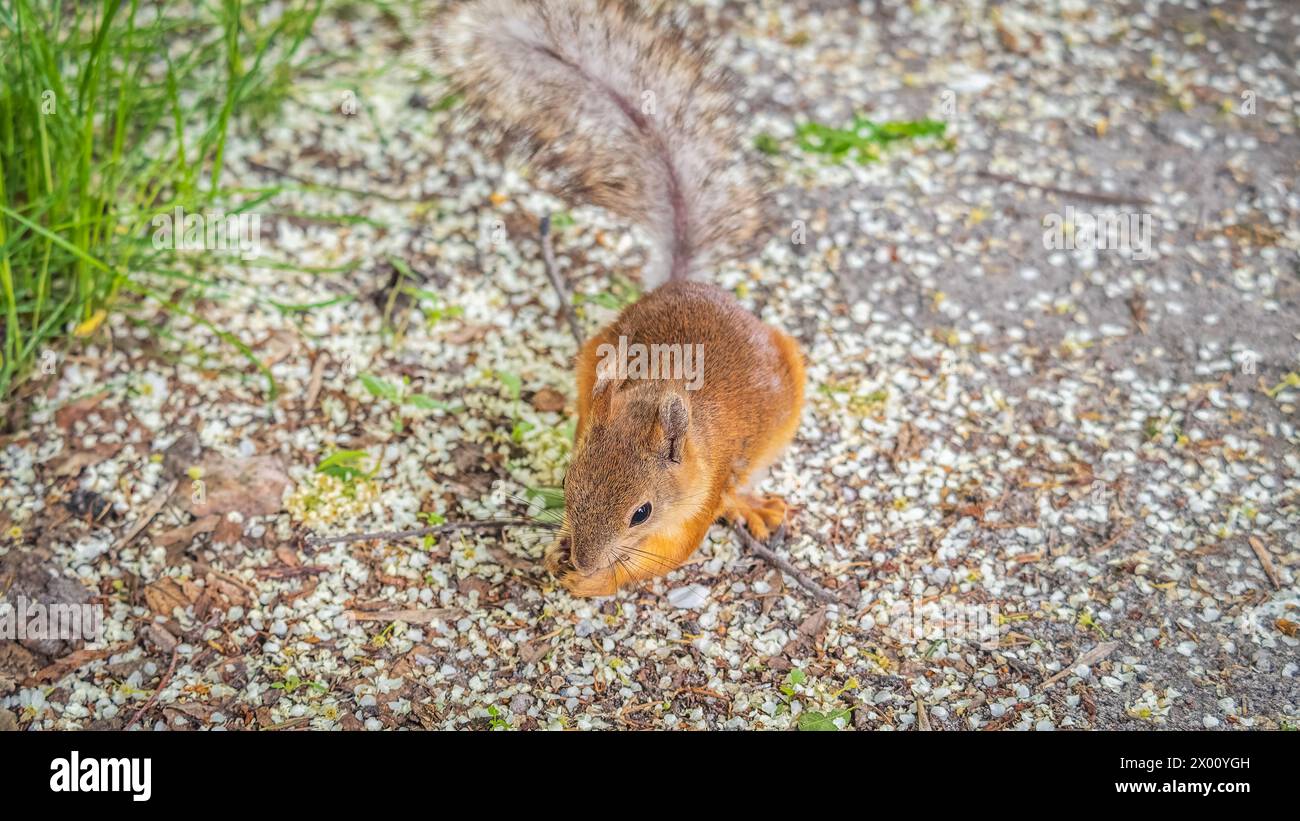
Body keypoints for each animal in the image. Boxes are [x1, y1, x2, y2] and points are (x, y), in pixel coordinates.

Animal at [439, 0, 800, 592]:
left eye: (641, 513)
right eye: (569, 480)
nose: (584, 558)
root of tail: (679, 281)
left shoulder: (697, 503)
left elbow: (667, 554)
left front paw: (592, 581)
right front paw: (556, 553)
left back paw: (750, 504)